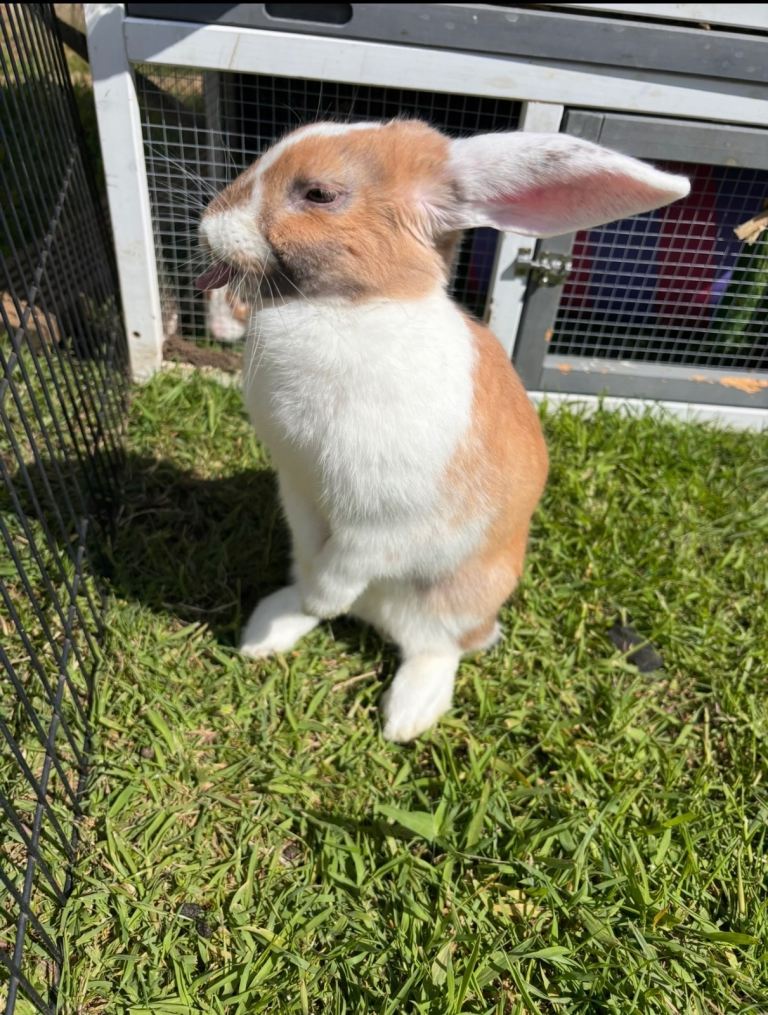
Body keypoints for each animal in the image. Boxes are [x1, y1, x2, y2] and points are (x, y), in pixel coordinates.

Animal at [196, 120, 689, 742]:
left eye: (319, 194)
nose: (207, 225)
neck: (352, 307)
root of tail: (376, 615)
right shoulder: (297, 483)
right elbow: (312, 544)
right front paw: (312, 601)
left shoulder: (384, 516)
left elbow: (346, 560)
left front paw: (327, 599)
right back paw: (269, 630)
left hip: (457, 598)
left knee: (440, 648)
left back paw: (406, 715)